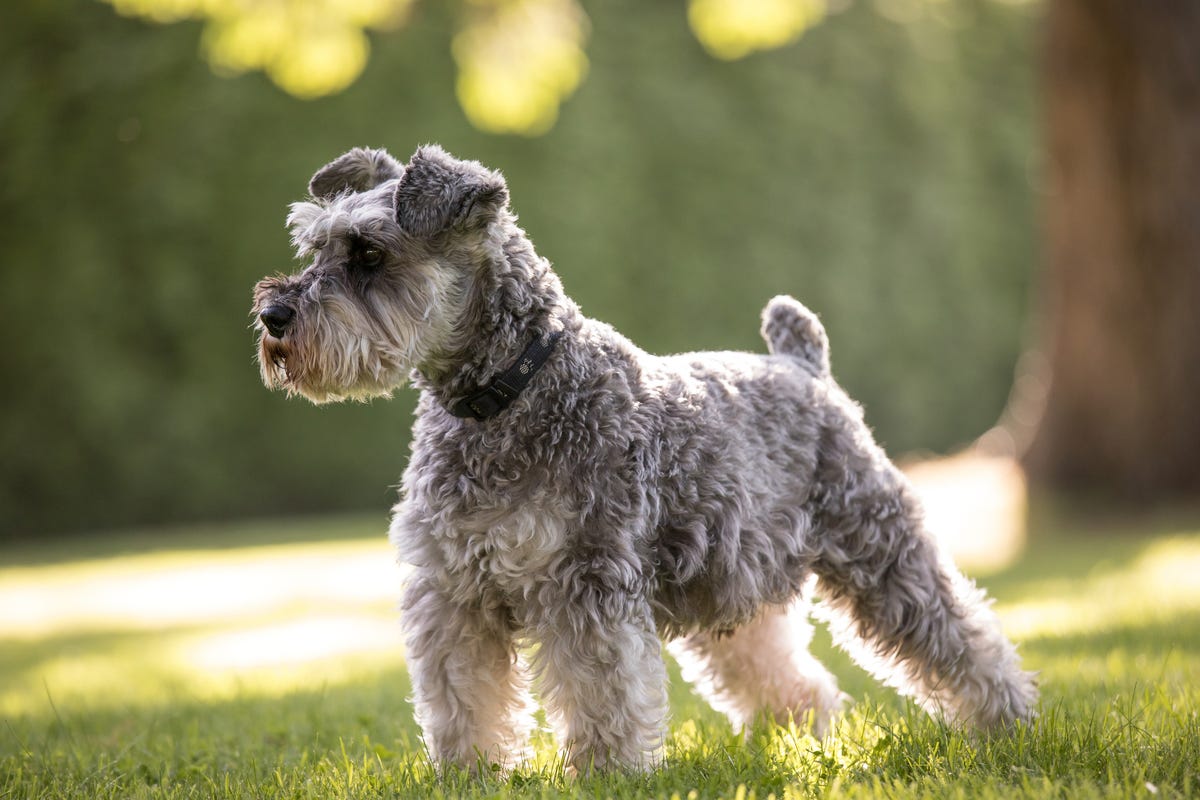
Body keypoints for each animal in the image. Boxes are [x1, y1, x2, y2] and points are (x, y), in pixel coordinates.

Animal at [255, 145, 1041, 777]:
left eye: (369, 253)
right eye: (314, 247)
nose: (274, 316)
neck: (509, 394)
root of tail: (802, 365)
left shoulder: (585, 585)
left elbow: (599, 692)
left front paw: (608, 774)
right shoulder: (453, 594)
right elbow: (461, 698)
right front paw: (468, 775)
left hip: (881, 554)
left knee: (963, 637)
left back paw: (1009, 725)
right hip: (735, 587)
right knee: (786, 672)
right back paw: (797, 737)